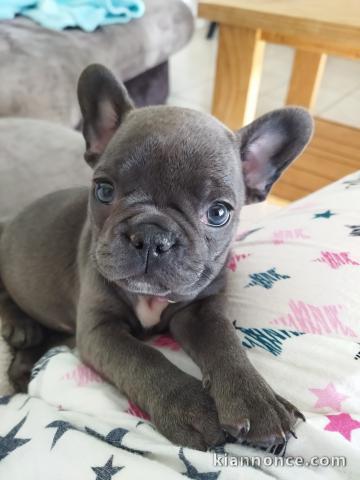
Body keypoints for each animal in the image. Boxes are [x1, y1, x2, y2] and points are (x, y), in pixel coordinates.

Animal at [0, 62, 312, 450]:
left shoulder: (201, 311)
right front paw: (191, 408)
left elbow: (226, 343)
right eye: (104, 190)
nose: (151, 236)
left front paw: (258, 400)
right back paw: (20, 326)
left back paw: (22, 367)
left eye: (218, 213)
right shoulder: (100, 331)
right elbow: (145, 358)